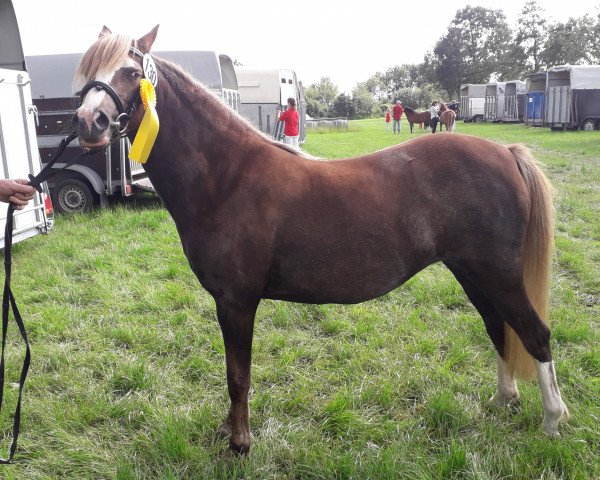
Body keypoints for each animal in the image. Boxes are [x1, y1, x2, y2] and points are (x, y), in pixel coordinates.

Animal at [70, 26, 568, 454]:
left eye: (131, 72)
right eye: (86, 71)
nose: (90, 122)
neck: (226, 175)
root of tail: (507, 153)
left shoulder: (236, 301)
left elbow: (238, 375)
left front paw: (240, 443)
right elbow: (232, 373)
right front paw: (230, 429)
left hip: (498, 274)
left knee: (535, 334)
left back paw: (552, 420)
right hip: (473, 272)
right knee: (498, 328)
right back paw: (503, 401)